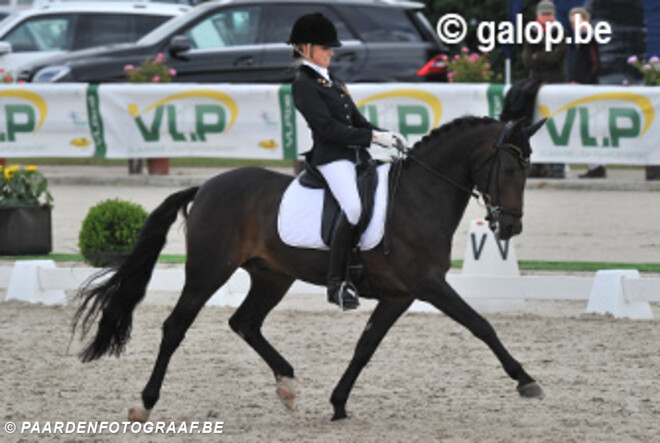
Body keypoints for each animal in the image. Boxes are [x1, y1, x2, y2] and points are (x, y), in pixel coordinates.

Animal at [72, 115, 547, 422]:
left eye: (528, 168)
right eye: (509, 167)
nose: (510, 226)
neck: (419, 196)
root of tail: (205, 186)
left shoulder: (400, 294)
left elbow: (365, 346)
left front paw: (338, 403)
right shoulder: (428, 285)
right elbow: (481, 325)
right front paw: (526, 381)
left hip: (272, 276)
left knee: (245, 322)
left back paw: (287, 384)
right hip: (209, 271)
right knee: (176, 327)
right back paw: (144, 404)